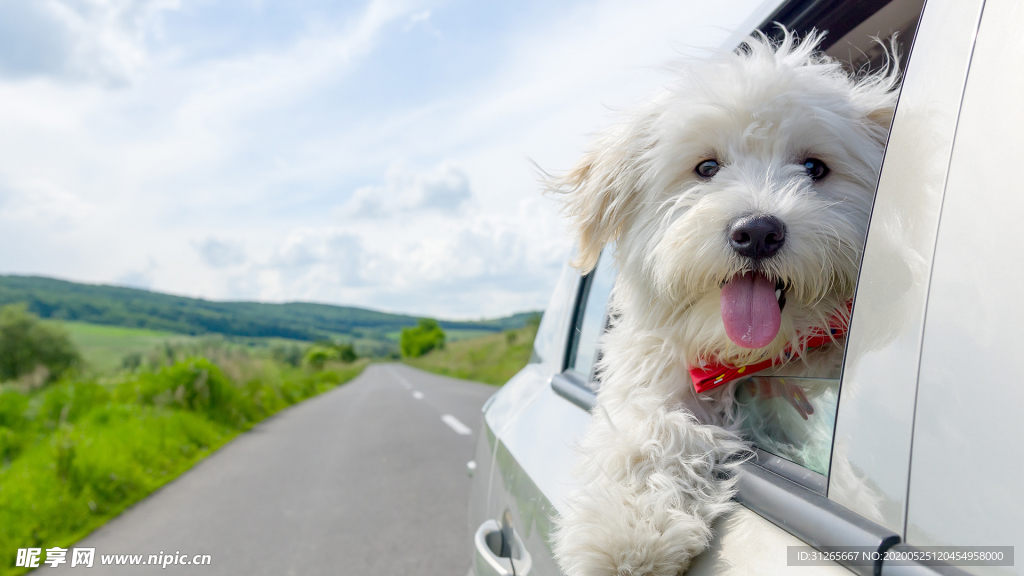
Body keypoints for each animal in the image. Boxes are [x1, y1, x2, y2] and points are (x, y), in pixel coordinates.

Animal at [552, 30, 897, 573]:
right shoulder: (652, 370)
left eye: (814, 167)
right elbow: (646, 426)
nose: (756, 232)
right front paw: (627, 533)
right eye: (707, 167)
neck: (752, 356)